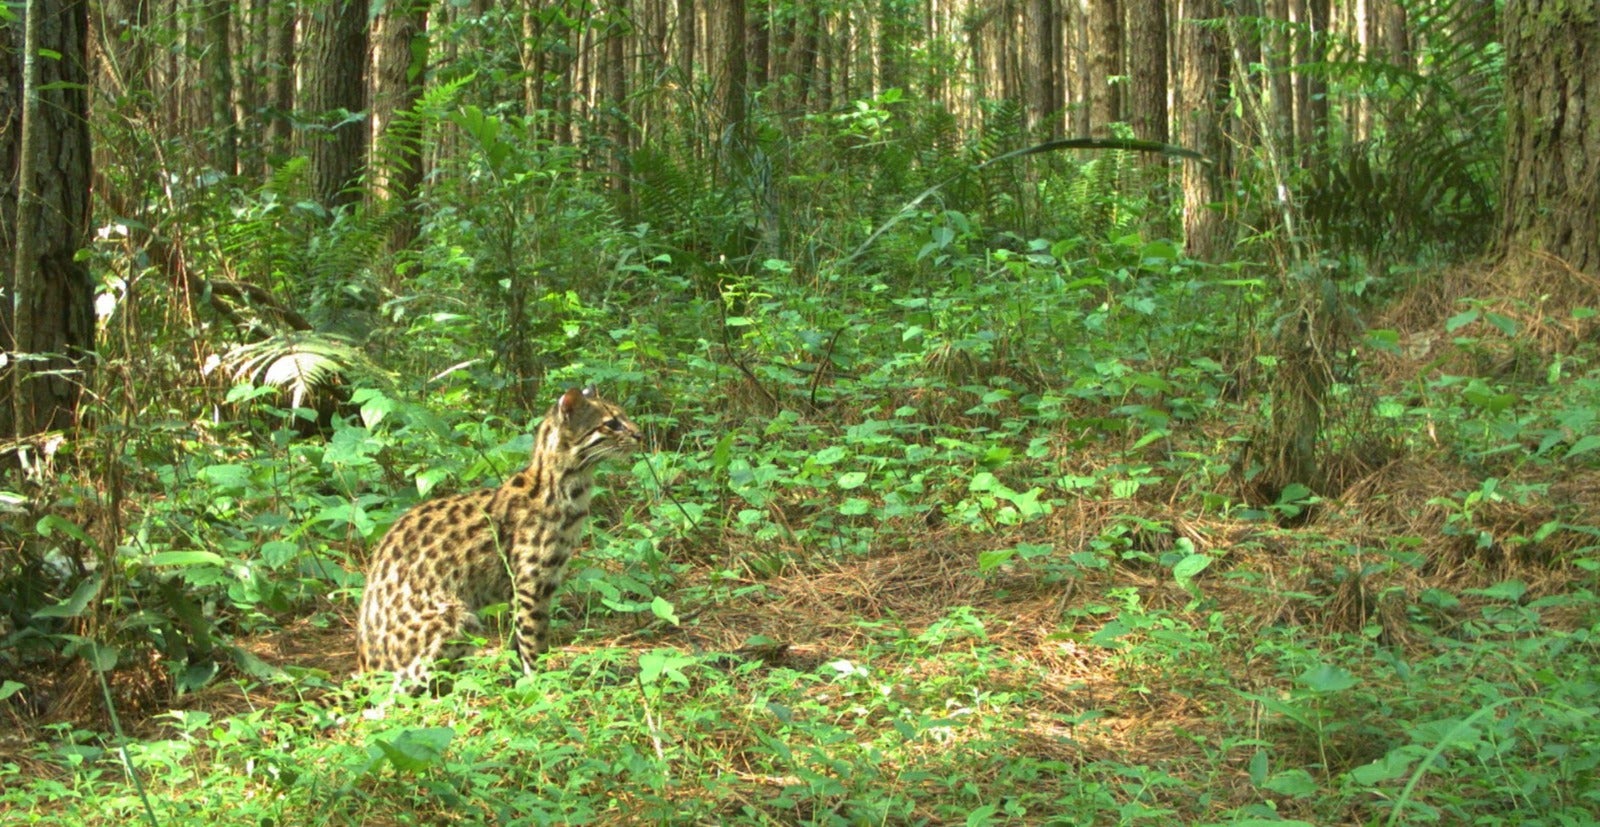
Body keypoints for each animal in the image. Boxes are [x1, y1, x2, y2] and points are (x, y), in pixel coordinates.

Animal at [360, 390, 640, 687]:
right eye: (611, 424)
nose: (640, 434)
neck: (569, 488)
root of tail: (365, 668)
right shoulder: (530, 586)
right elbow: (533, 641)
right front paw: (542, 684)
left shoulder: (527, 590)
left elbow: (518, 642)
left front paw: (520, 680)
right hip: (459, 616)